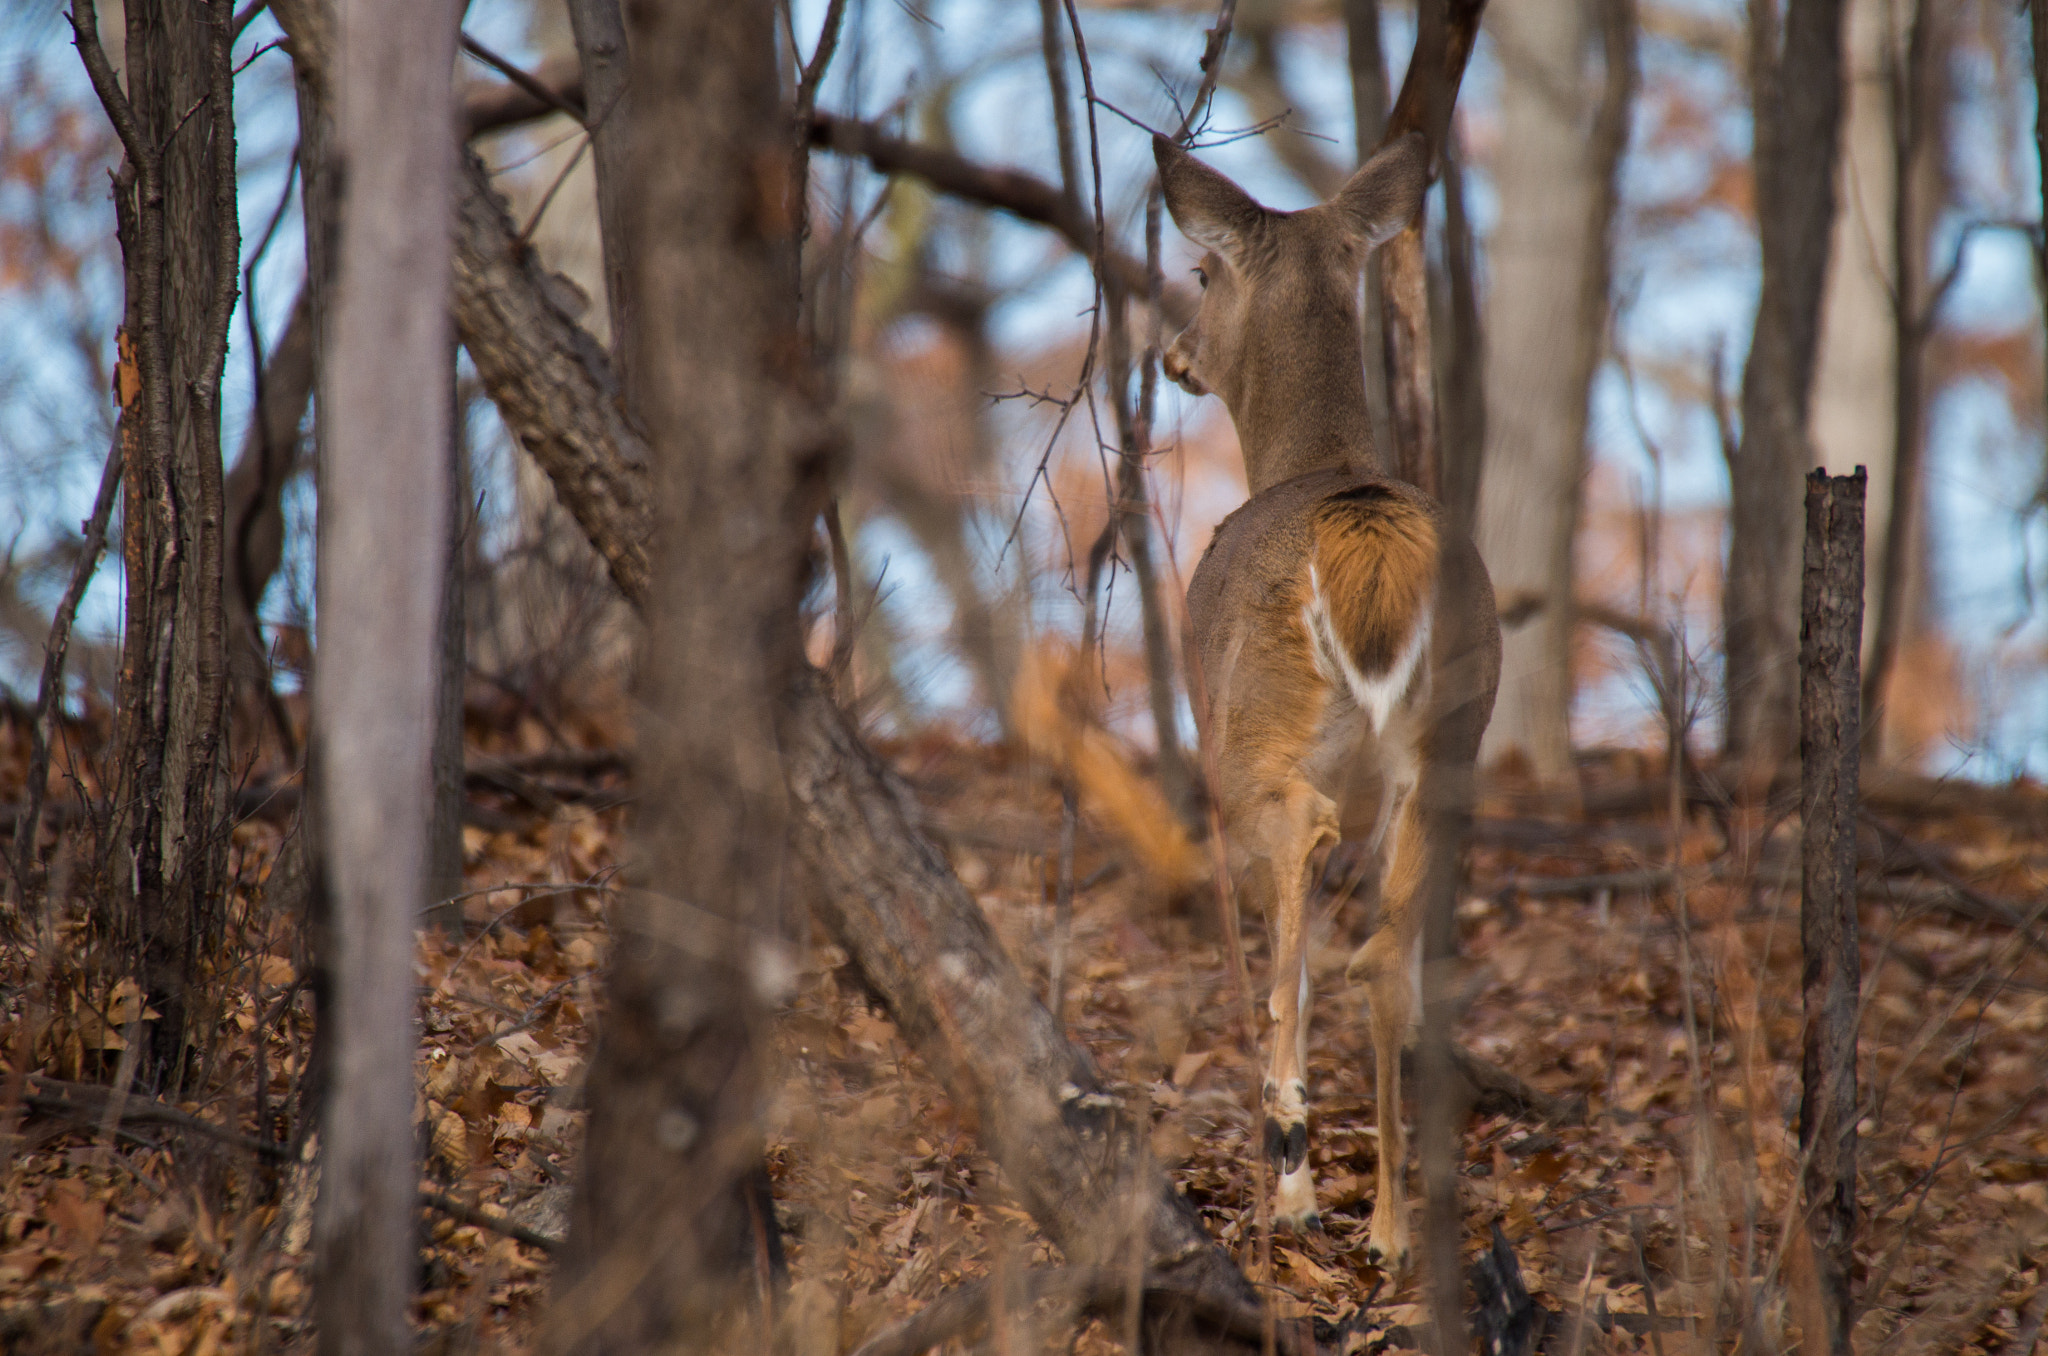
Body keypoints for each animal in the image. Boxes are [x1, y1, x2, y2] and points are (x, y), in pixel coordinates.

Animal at [1155, 133, 1507, 1269]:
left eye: (1201, 273)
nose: (1173, 355)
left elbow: (1285, 966)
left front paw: (1292, 1175)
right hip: (1450, 745)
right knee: (1384, 958)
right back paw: (1392, 1230)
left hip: (1256, 739)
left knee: (1301, 924)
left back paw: (1295, 1178)